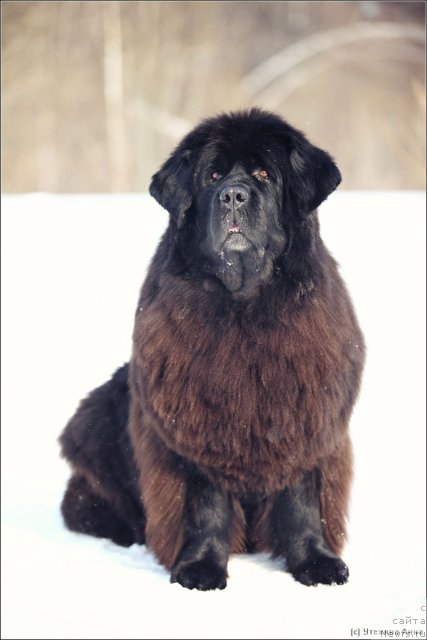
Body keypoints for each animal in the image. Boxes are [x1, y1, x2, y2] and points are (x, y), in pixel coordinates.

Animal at [60, 106, 366, 592]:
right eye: (213, 176)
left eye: (263, 173)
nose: (234, 196)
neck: (244, 305)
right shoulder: (196, 432)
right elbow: (206, 506)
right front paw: (200, 569)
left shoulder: (305, 420)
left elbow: (302, 502)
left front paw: (316, 563)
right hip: (99, 414)